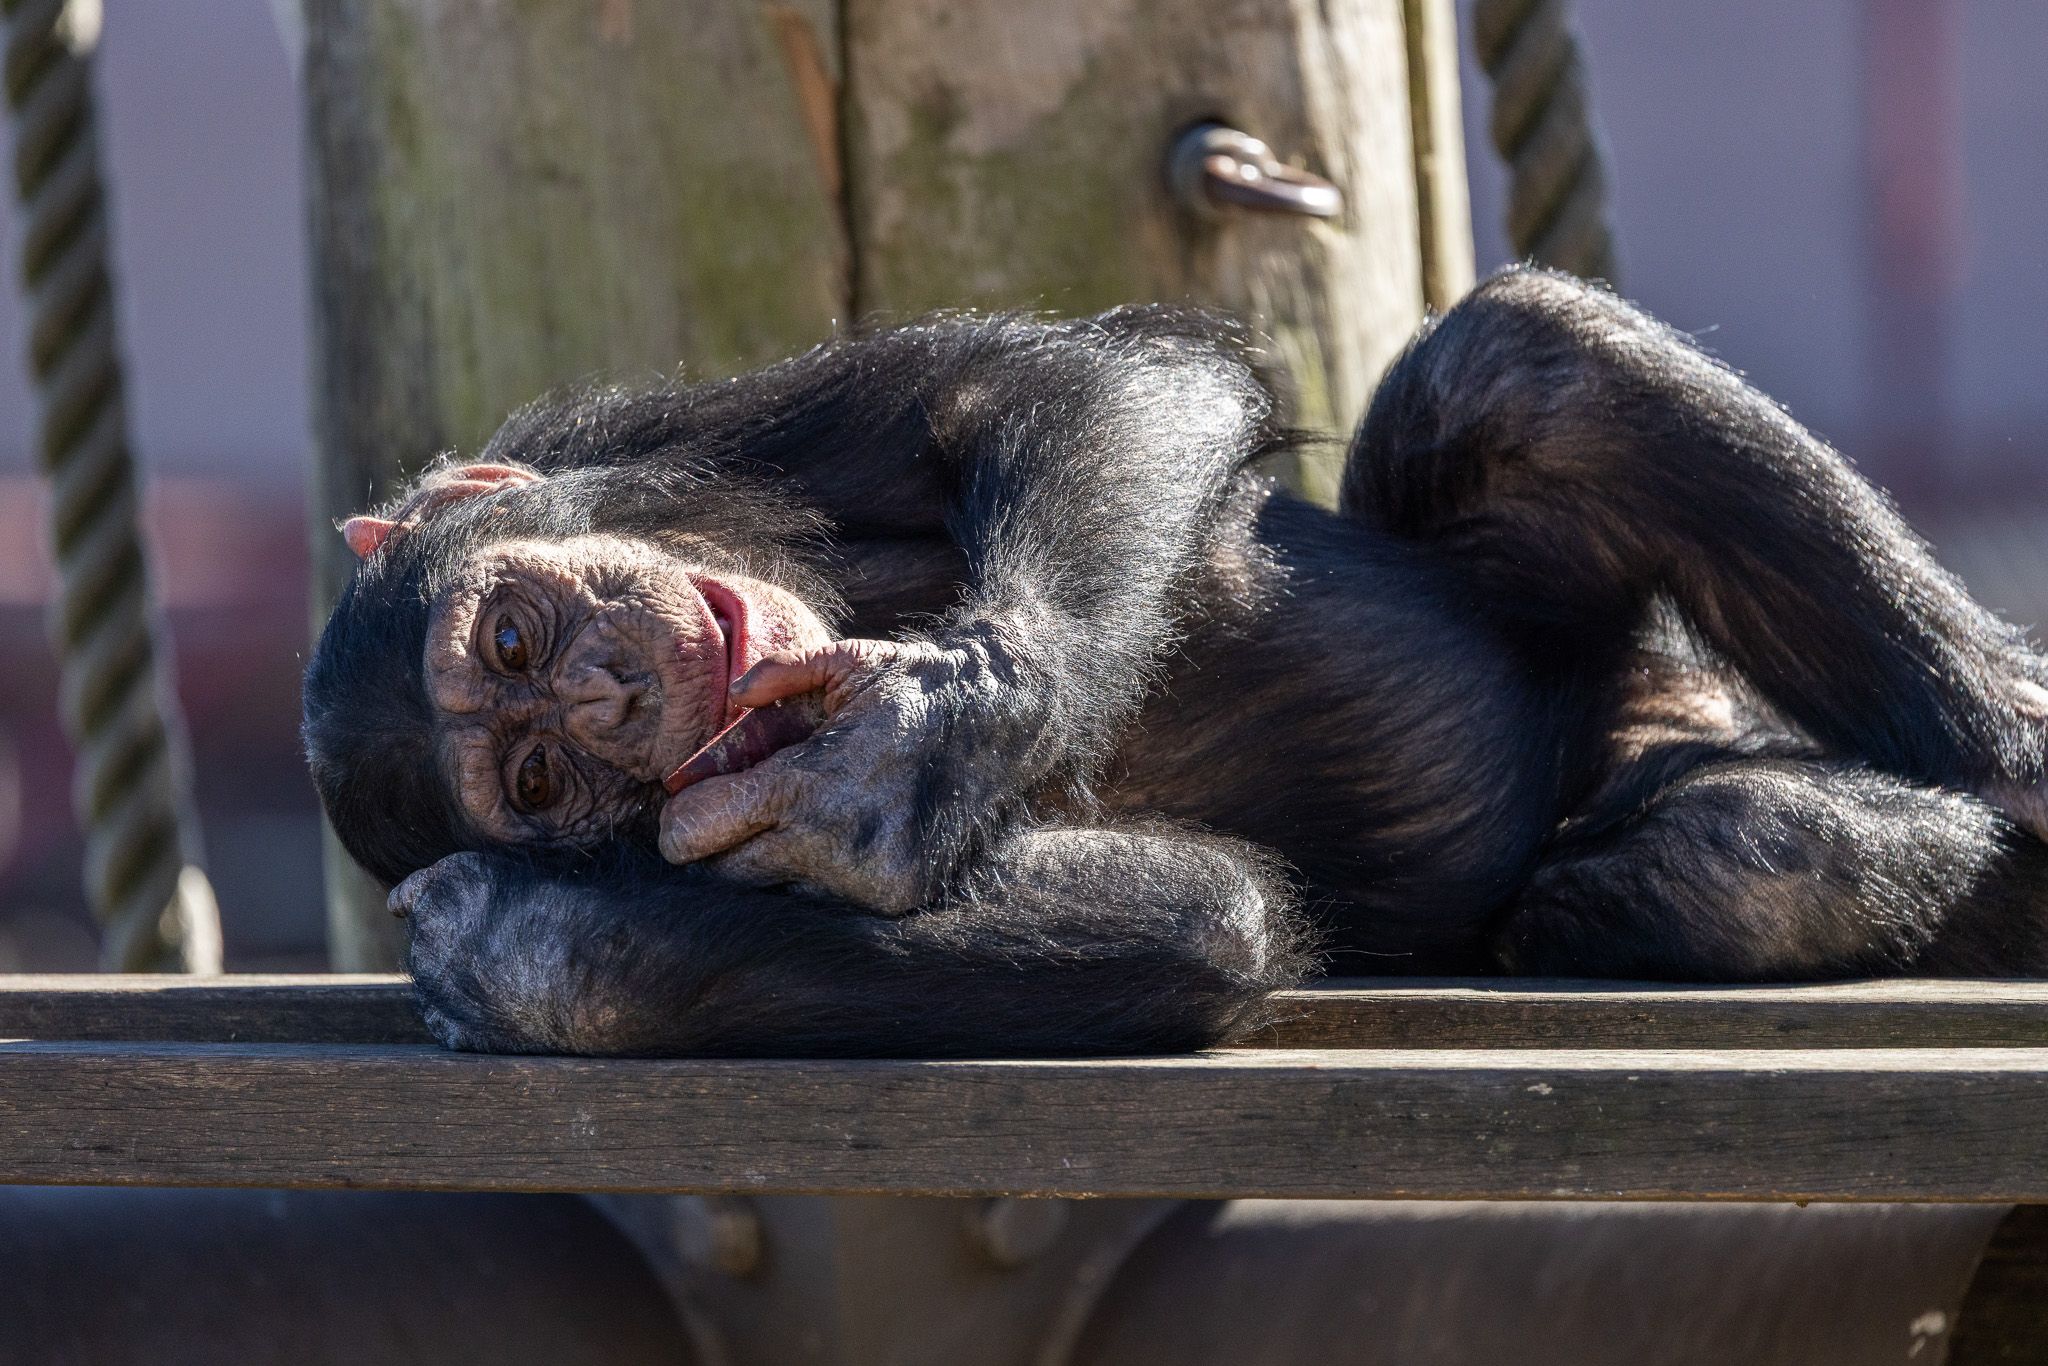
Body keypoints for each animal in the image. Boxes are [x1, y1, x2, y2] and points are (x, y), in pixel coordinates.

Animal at [302, 268, 2048, 1058]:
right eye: (541, 776)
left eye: (517, 637)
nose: (610, 692)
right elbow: (1204, 912)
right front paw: (527, 945)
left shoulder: (656, 431)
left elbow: (1051, 389)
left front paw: (923, 744)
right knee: (1744, 855)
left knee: (1530, 373)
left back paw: (2019, 763)